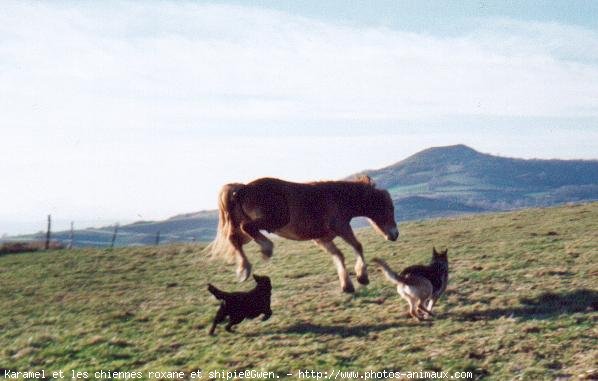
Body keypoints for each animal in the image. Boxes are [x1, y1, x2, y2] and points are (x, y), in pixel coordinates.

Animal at [206, 175, 398, 290]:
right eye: (388, 208)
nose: (394, 234)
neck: (337, 198)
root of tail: (242, 189)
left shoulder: (322, 239)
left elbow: (338, 255)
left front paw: (347, 286)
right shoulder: (341, 227)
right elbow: (358, 246)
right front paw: (362, 277)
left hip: (246, 231)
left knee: (234, 239)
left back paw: (244, 270)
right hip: (274, 220)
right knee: (246, 228)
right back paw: (266, 249)